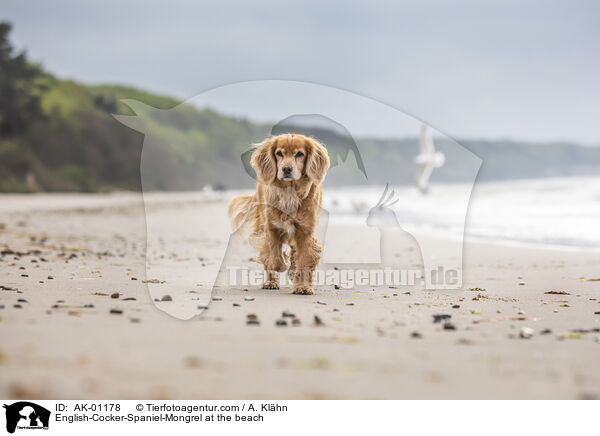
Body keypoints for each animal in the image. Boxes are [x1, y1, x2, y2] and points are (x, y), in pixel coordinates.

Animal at [227, 134, 330, 292]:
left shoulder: (305, 230)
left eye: (300, 154)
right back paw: (271, 282)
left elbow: (304, 258)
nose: (286, 169)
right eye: (279, 153)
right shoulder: (271, 227)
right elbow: (274, 254)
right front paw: (280, 266)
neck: (290, 192)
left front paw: (302, 285)